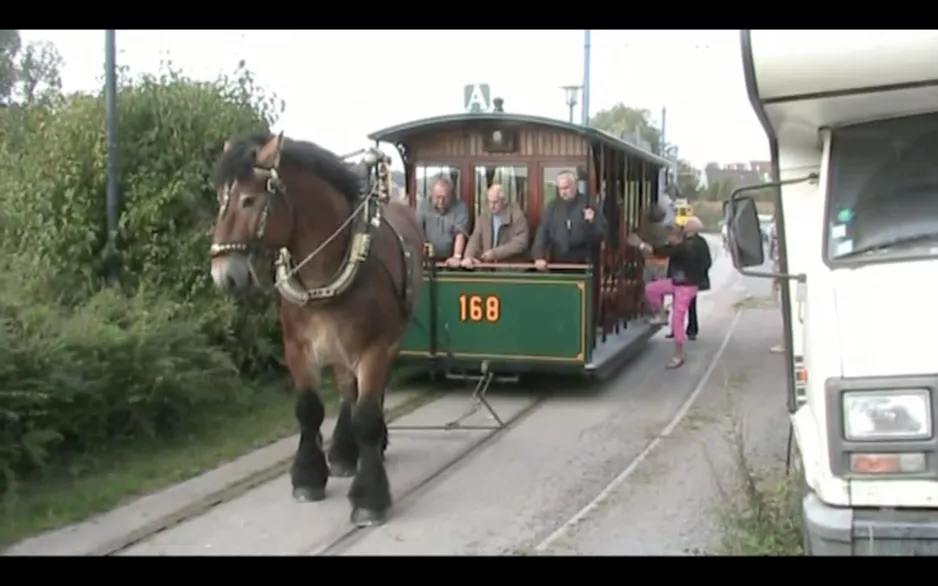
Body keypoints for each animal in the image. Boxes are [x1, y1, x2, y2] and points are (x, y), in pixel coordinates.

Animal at [210, 131, 422, 524]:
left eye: (248, 200)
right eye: (220, 200)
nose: (223, 276)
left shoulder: (376, 347)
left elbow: (367, 416)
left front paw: (370, 497)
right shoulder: (298, 348)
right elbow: (309, 411)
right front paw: (308, 476)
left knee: (369, 397)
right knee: (347, 392)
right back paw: (344, 452)